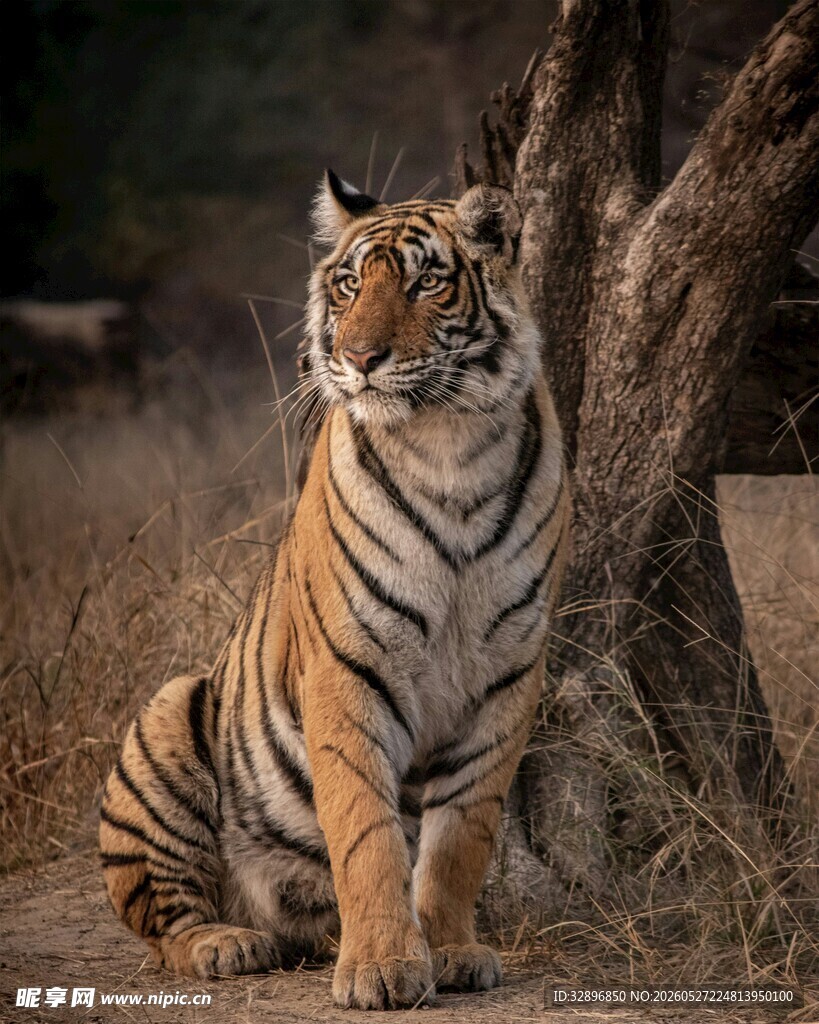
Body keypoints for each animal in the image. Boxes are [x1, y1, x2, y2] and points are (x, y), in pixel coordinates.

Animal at [99, 169, 569, 1011]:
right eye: (349, 286)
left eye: (424, 283)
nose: (359, 357)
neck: (449, 445)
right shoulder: (350, 665)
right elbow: (365, 832)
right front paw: (382, 968)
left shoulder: (507, 674)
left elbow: (461, 837)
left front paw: (450, 950)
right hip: (166, 720)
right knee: (163, 923)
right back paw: (227, 943)